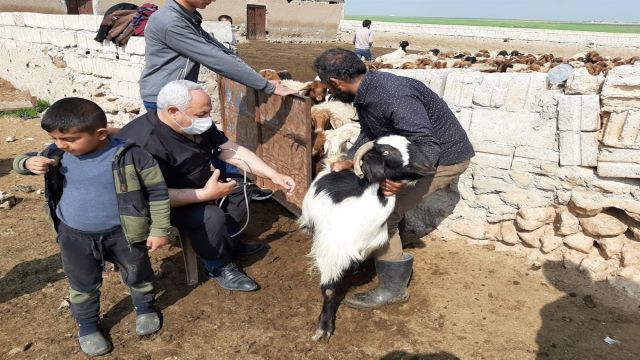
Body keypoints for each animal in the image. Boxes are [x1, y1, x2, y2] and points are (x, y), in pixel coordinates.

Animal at [298, 135, 436, 340]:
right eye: (386, 151)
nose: (429, 166)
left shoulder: (371, 243)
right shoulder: (330, 254)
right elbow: (329, 290)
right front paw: (324, 329)